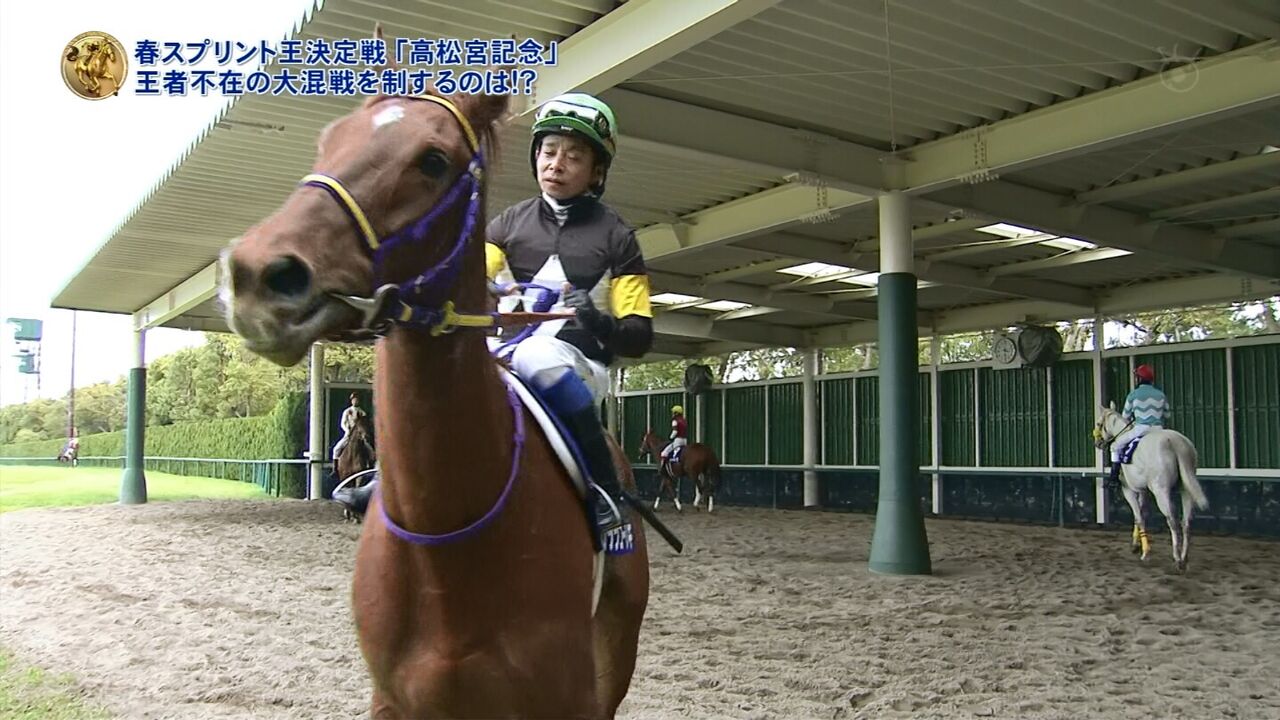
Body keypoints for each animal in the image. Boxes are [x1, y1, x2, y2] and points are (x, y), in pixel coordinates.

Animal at [218, 40, 650, 717]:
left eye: (432, 160)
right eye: (328, 141)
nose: (259, 273)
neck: (443, 541)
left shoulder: (569, 693)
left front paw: (587, 312)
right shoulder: (397, 698)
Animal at [1095, 399, 1203, 568]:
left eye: (1099, 423)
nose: (1098, 443)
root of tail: (1175, 442)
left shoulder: (1129, 490)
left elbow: (1139, 518)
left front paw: (1145, 552)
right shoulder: (1143, 491)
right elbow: (1141, 515)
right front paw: (1136, 545)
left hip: (1161, 492)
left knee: (1172, 521)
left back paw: (1177, 558)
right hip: (1186, 490)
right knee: (1186, 522)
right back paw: (1184, 558)